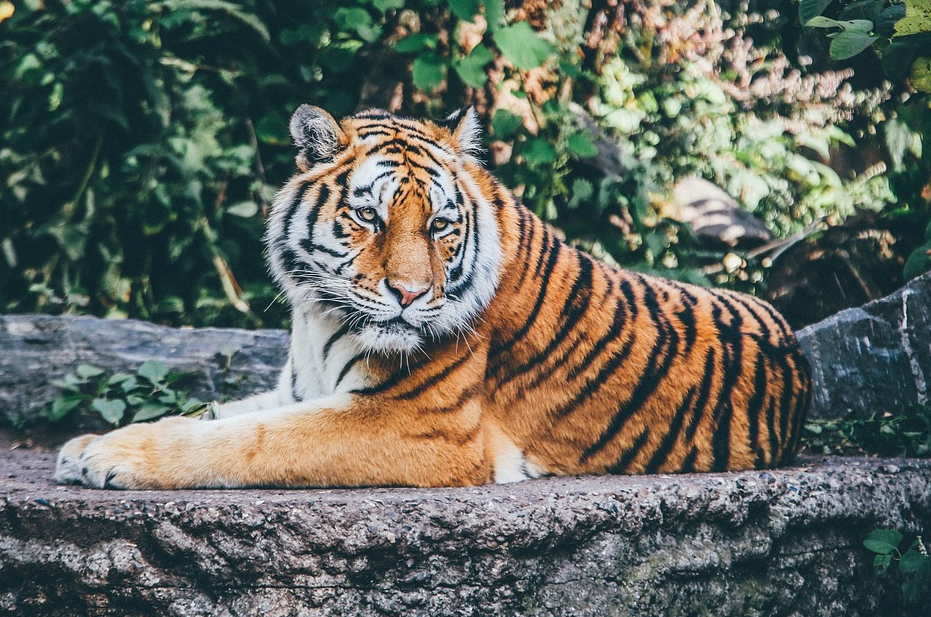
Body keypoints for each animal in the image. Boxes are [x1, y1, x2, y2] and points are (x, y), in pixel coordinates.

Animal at [54, 105, 812, 489]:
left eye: (441, 226)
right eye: (369, 217)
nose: (411, 294)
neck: (316, 316)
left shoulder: (414, 424)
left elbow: (248, 440)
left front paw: (112, 457)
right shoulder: (298, 388)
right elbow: (216, 413)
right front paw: (88, 443)